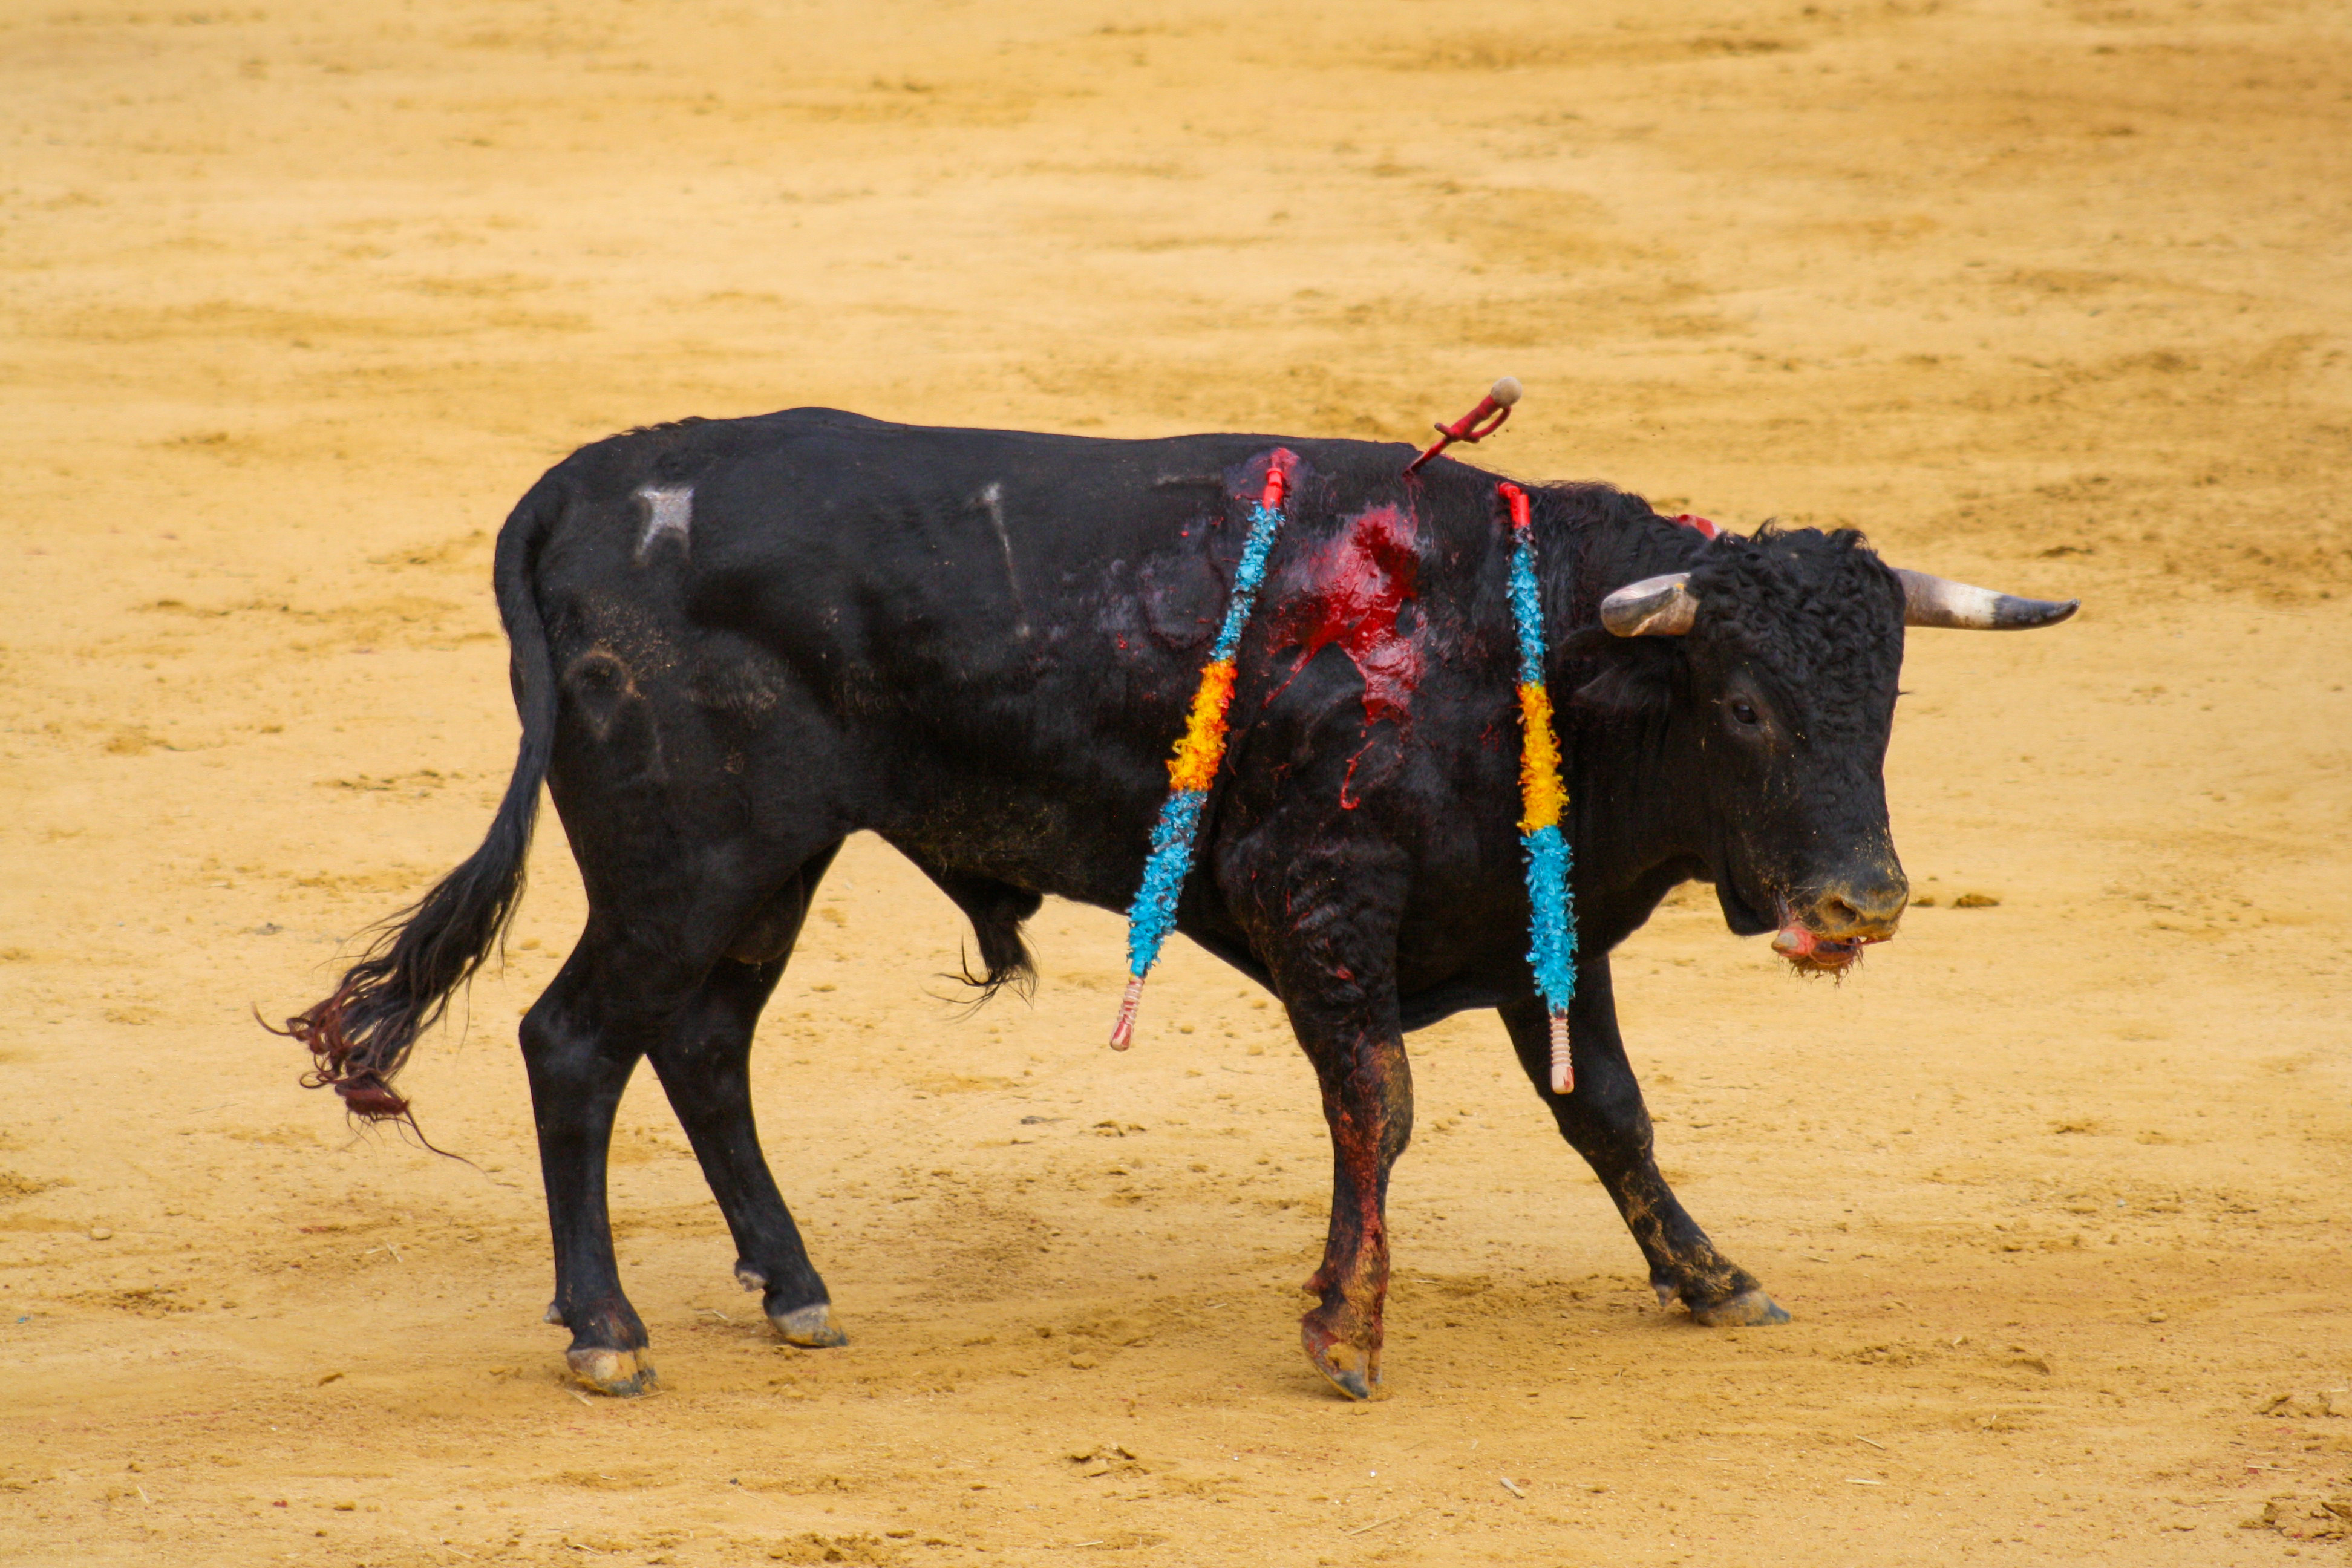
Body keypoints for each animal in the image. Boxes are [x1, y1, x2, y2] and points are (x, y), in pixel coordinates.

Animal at [279, 407, 2075, 1401]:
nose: (1866, 899)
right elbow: (1381, 1102)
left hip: (772, 866)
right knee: (577, 1043)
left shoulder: (1520, 918)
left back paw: (793, 1291)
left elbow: (1609, 1114)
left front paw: (1710, 1278)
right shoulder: (1320, 899)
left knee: (705, 1045)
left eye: (1886, 699)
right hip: (680, 859)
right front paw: (1345, 1334)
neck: (1524, 641)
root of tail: (598, 481)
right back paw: (605, 1330)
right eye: (1751, 706)